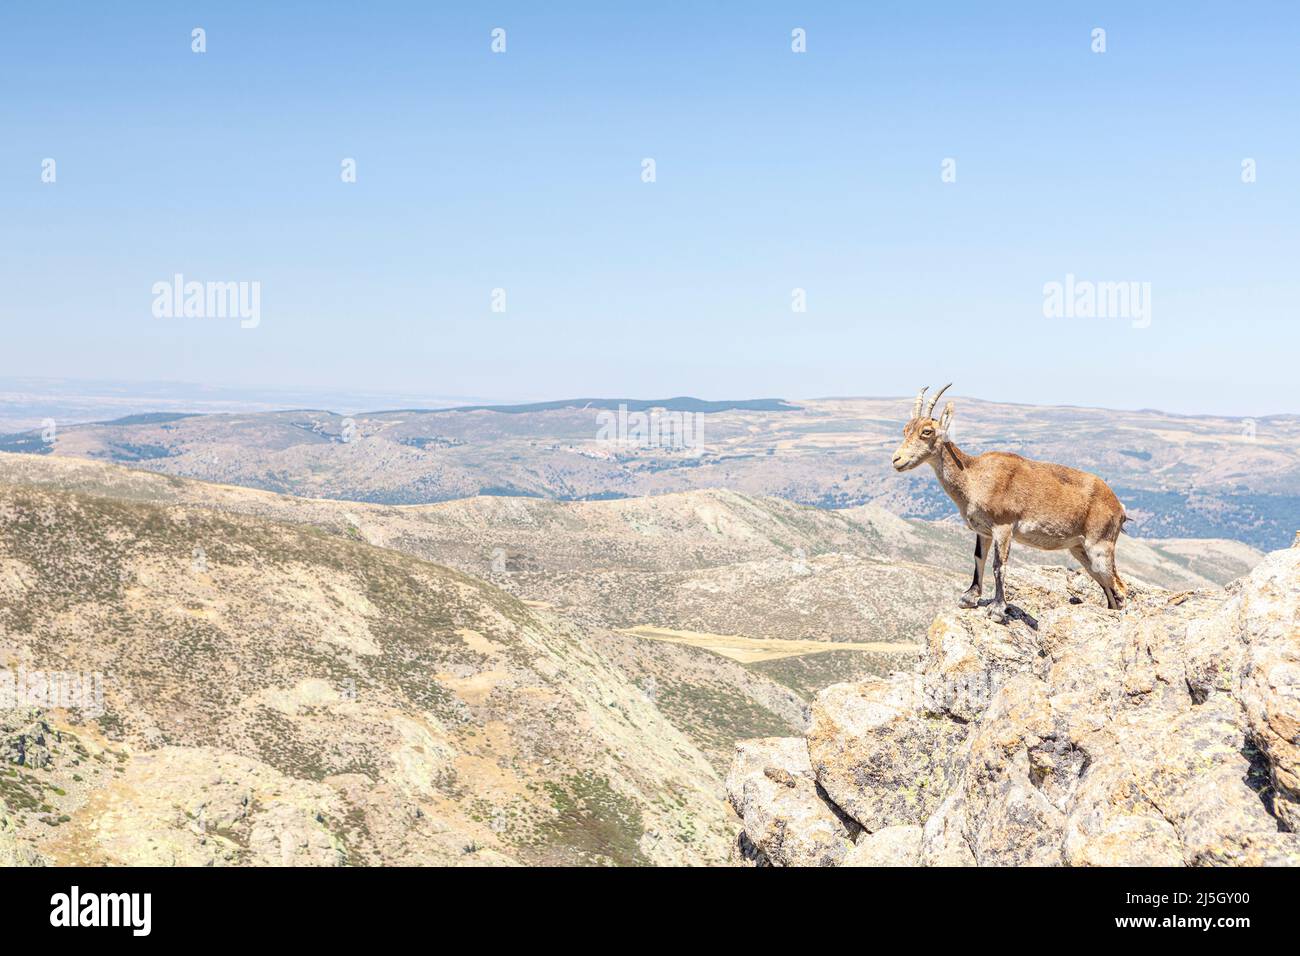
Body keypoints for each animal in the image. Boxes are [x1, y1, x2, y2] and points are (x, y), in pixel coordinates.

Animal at [891, 384, 1129, 623]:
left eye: (927, 431)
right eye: (905, 430)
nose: (896, 460)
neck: (973, 476)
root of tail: (1119, 507)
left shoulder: (1003, 526)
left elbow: (999, 565)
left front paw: (997, 609)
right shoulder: (984, 531)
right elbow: (978, 558)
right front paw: (969, 598)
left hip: (1100, 545)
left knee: (1120, 587)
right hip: (1080, 549)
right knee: (1108, 589)